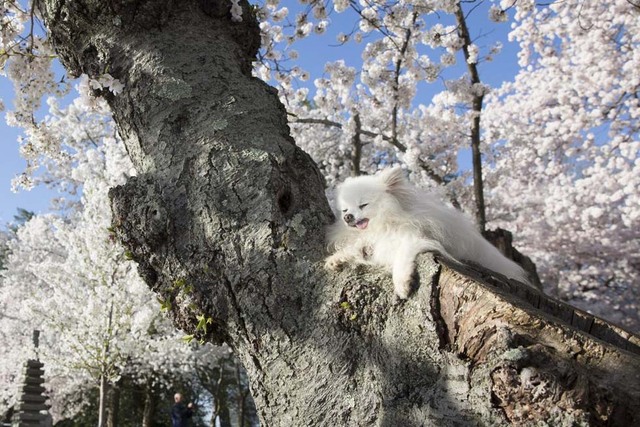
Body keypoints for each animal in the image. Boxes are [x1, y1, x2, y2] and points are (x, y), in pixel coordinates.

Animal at [324, 167, 528, 300]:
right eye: (344, 210)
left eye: (363, 205)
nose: (348, 217)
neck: (384, 223)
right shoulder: (371, 239)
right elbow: (356, 247)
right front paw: (337, 258)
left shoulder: (412, 238)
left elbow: (401, 257)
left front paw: (402, 284)